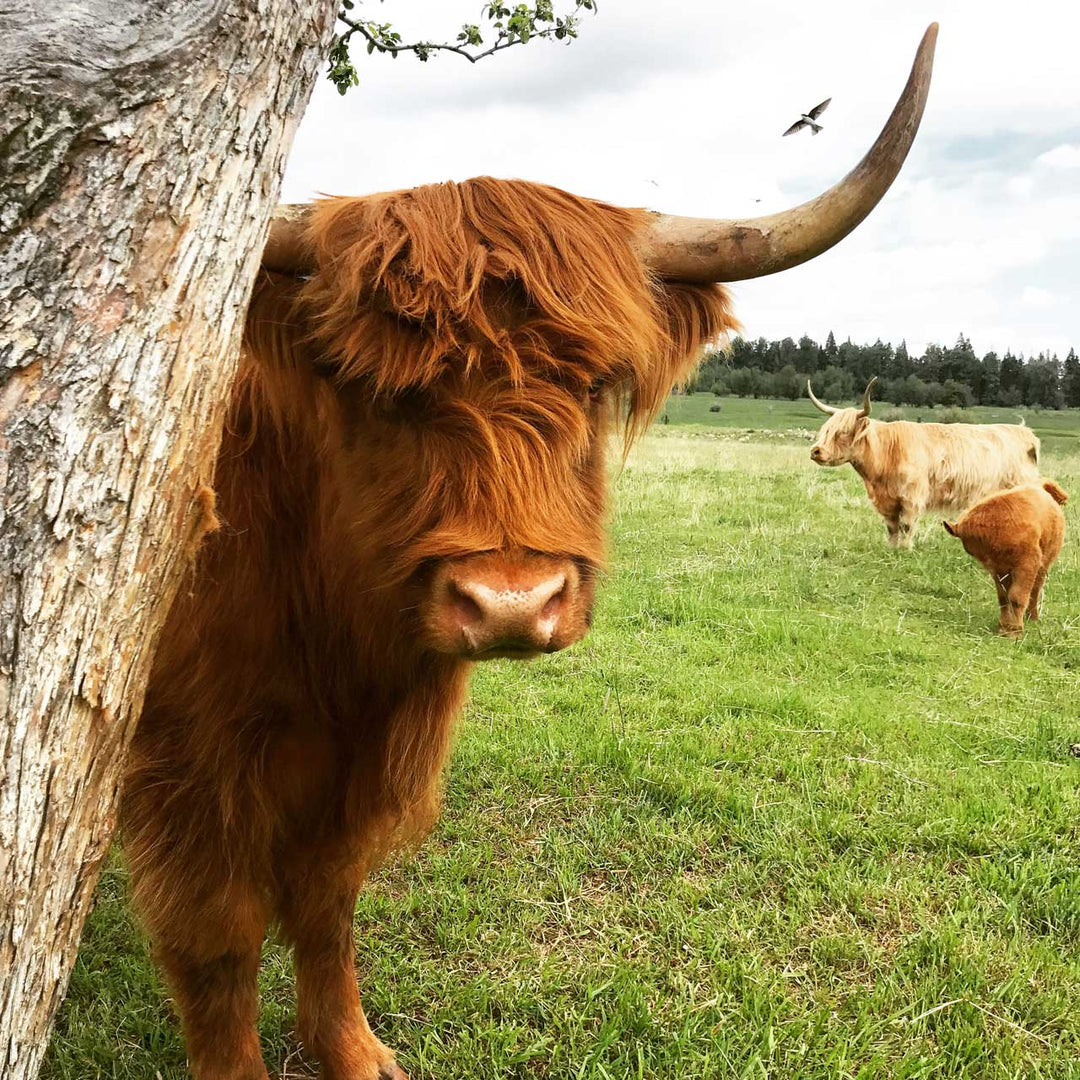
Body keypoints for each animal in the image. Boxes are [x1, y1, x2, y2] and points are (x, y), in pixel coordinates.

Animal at [122, 25, 941, 1080]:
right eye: (372, 387)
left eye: (592, 385)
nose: (512, 601)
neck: (334, 642)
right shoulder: (185, 762)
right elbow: (217, 937)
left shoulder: (365, 755)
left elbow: (328, 897)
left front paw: (353, 1051)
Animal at [812, 380, 1036, 548]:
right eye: (826, 429)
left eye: (842, 432)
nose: (815, 451)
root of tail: (1023, 431)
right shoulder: (887, 501)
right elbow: (892, 527)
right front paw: (891, 548)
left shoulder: (912, 497)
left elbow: (906, 526)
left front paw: (905, 549)